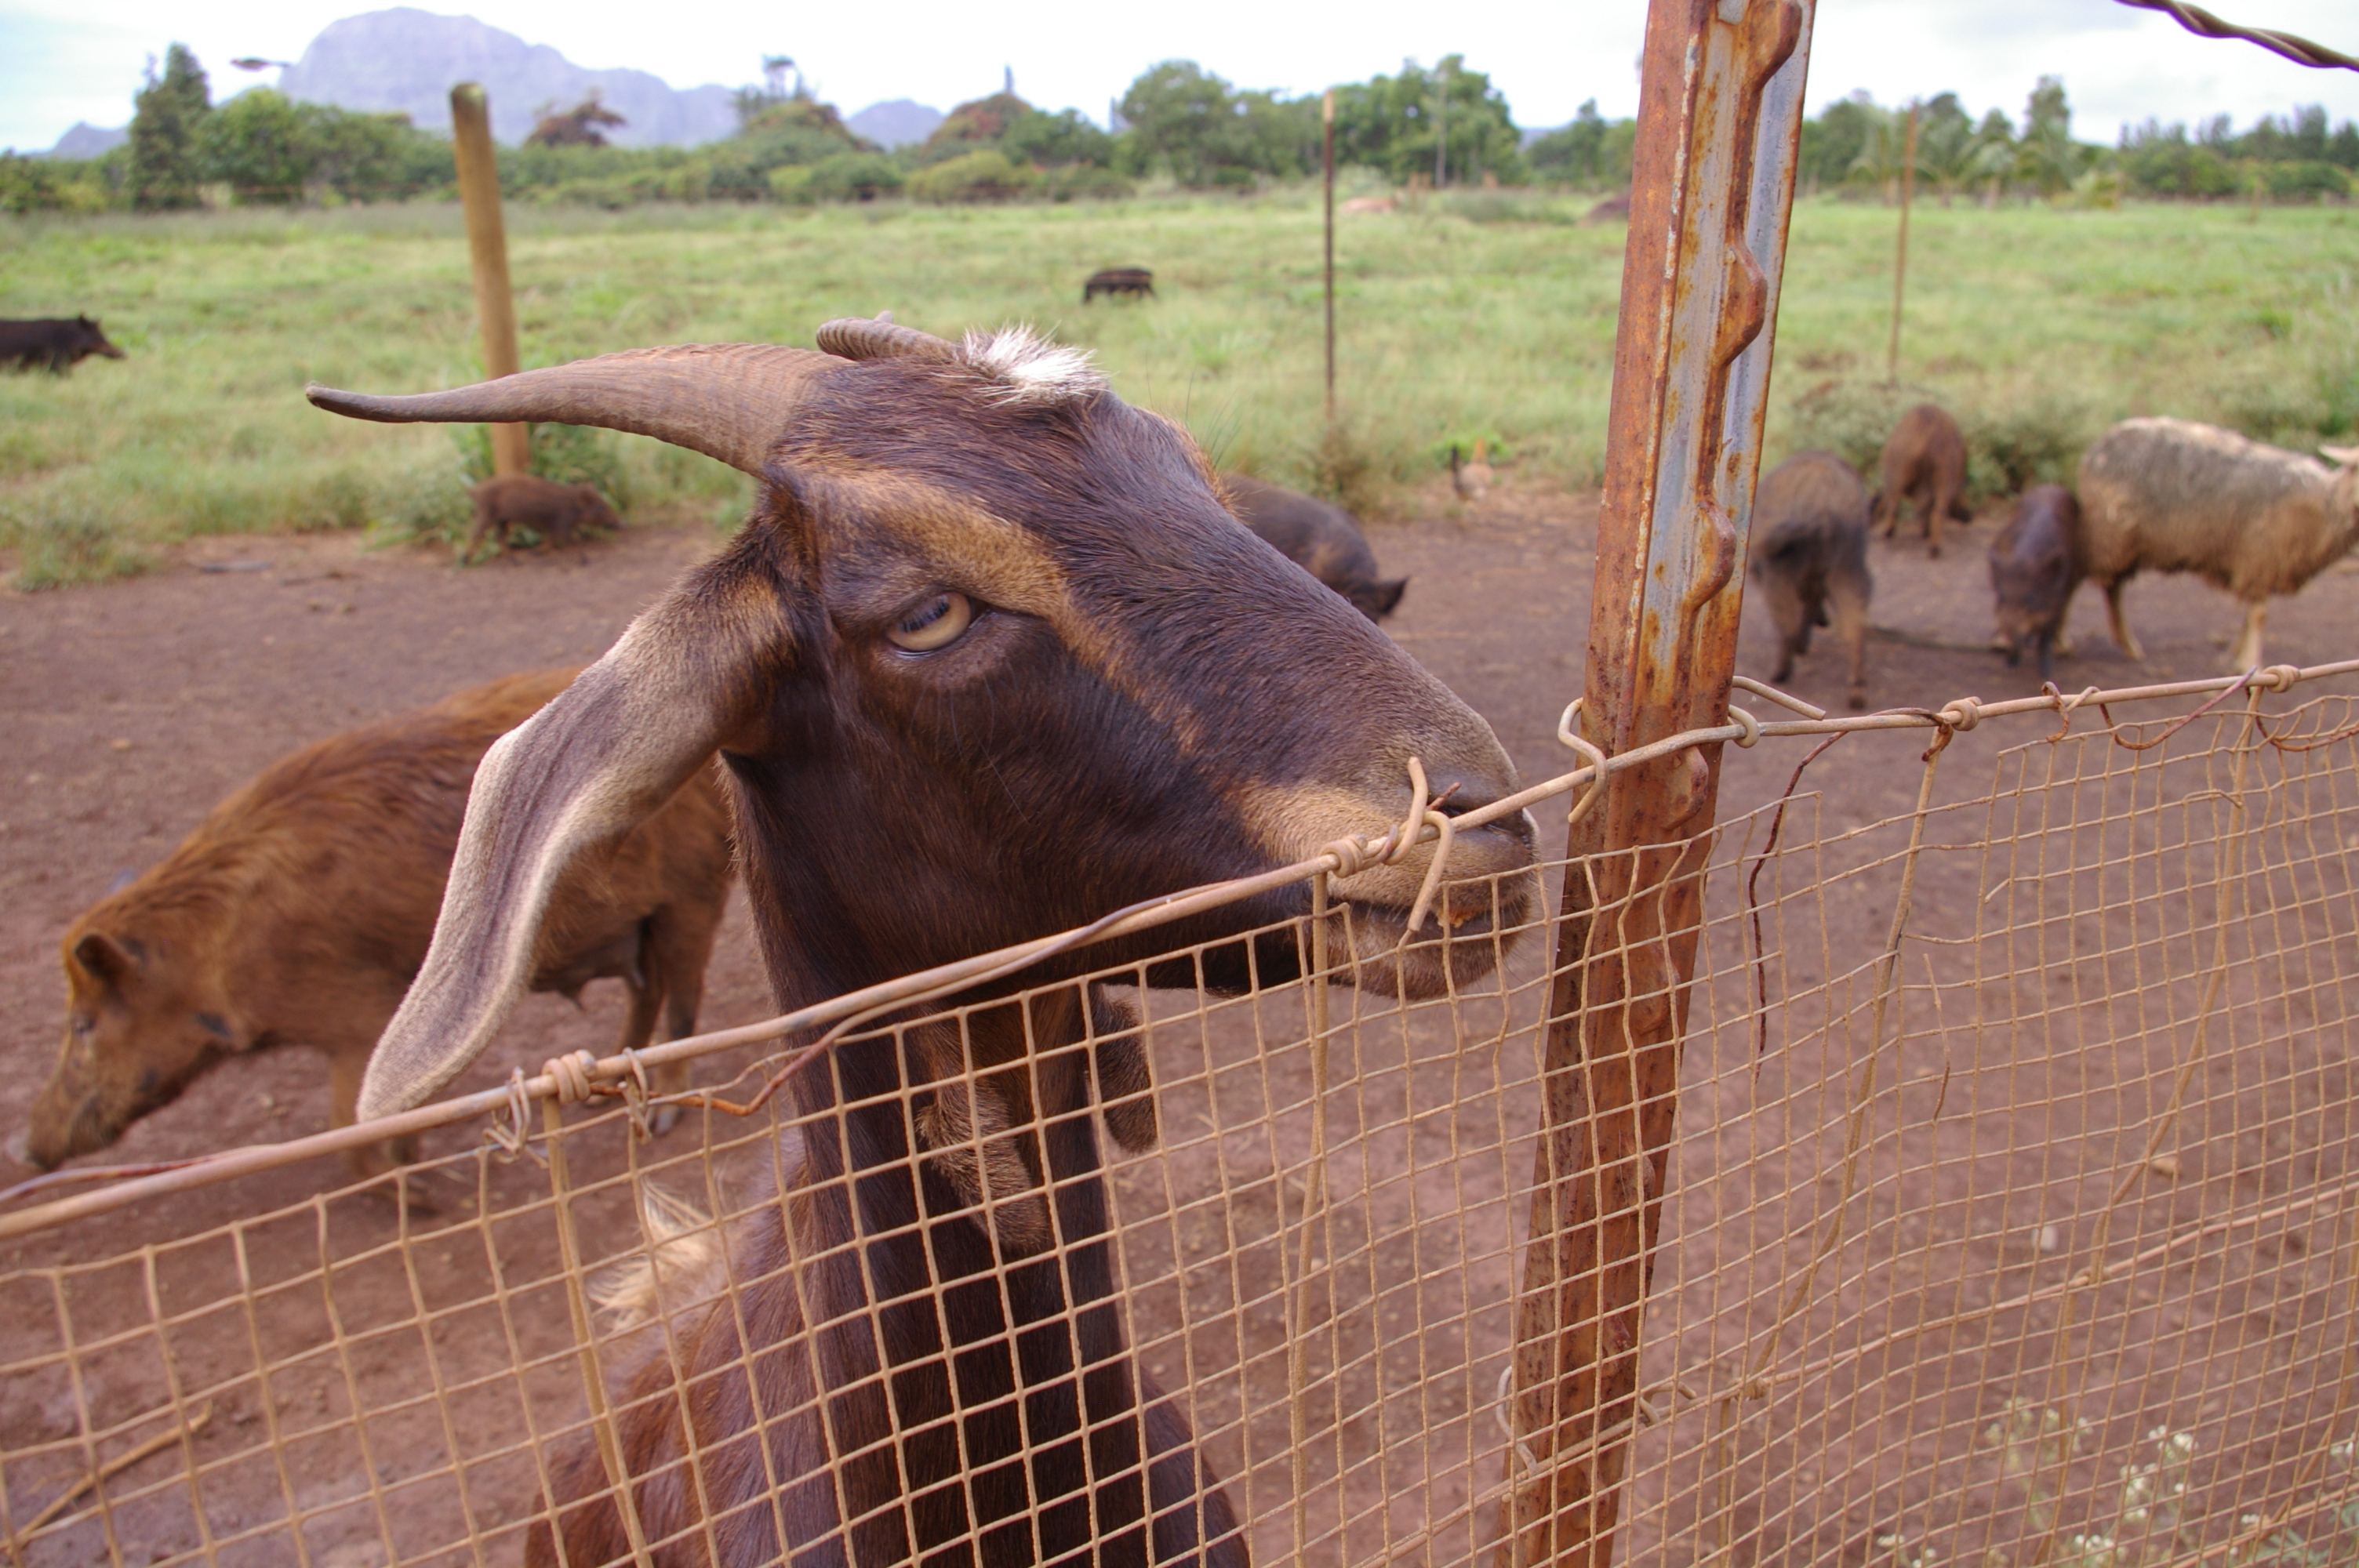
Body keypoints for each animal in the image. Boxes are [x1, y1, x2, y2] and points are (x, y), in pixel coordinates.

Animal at [23, 665, 731, 1178]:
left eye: (83, 1025)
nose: (22, 1149)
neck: (221, 947)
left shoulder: (354, 1008)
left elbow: (351, 1121)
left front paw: (425, 1190)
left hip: (692, 893)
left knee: (684, 1000)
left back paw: (662, 1119)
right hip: (643, 920)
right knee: (648, 992)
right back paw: (610, 1067)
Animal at [462, 474, 618, 558]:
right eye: (601, 506)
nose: (621, 523)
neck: (573, 507)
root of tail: (474, 491)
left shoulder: (554, 526)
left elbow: (550, 540)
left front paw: (536, 553)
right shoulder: (562, 525)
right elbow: (572, 543)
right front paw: (585, 560)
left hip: (503, 521)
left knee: (499, 538)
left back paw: (515, 561)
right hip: (486, 515)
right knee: (474, 535)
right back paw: (466, 560)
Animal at [1877, 403, 1972, 556]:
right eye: (1964, 488)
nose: (1970, 515)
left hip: (1897, 468)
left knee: (1895, 506)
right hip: (1943, 472)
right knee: (1937, 511)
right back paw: (1933, 548)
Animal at [2085, 415, 2359, 665]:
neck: (2324, 503)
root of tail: (2103, 442)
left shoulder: (2255, 563)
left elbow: (2250, 615)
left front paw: (2235, 654)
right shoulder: (2261, 557)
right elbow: (2259, 615)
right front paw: (2249, 662)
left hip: (2119, 542)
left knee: (2113, 589)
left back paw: (2127, 645)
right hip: (2109, 534)